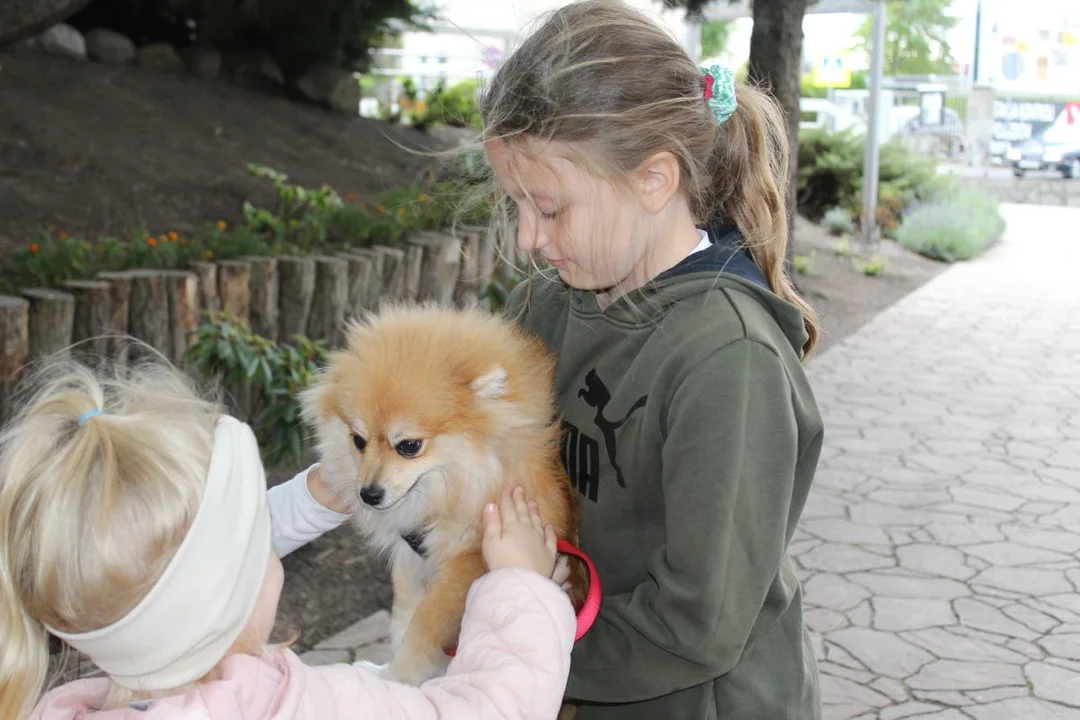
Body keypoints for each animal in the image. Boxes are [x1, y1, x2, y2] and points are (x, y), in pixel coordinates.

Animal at [300, 302, 587, 686]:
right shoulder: (413, 554)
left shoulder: (468, 563)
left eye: (408, 446)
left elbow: (425, 623)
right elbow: (403, 615)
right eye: (358, 441)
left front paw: (398, 677)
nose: (369, 494)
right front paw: (392, 668)